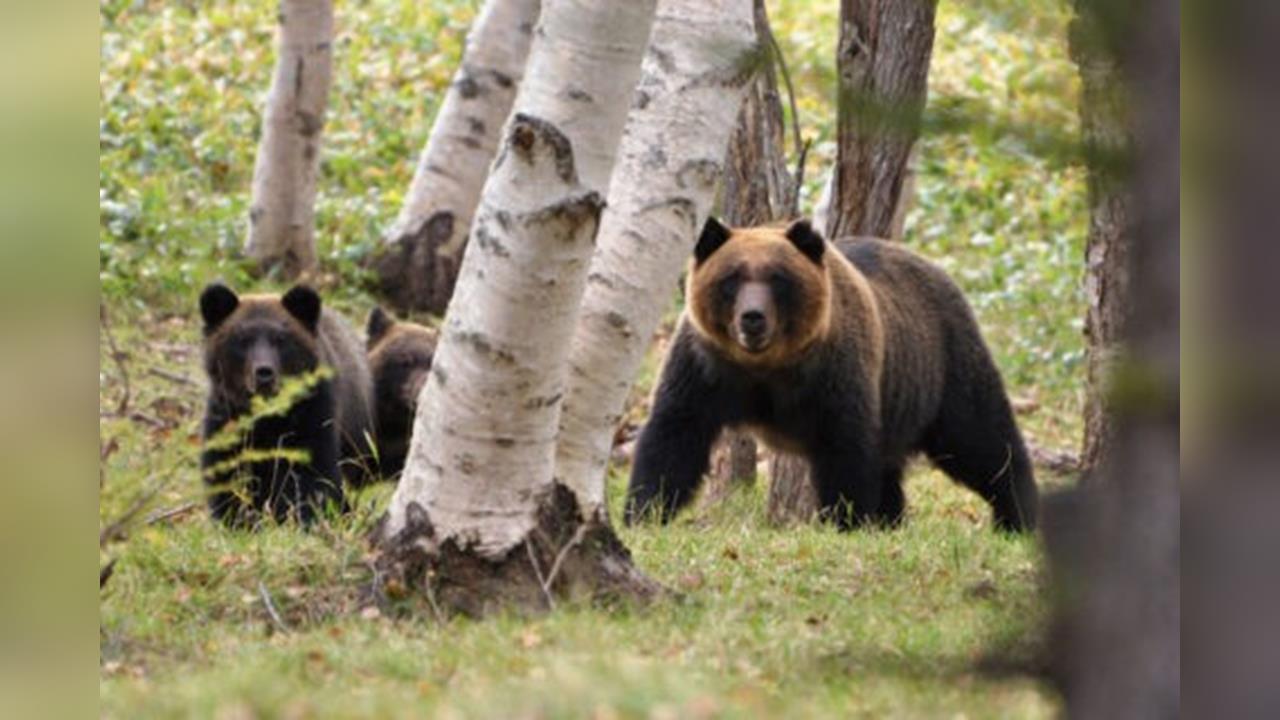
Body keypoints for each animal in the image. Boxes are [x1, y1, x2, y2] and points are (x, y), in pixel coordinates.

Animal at [199, 283, 376, 527]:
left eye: (281, 338)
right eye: (242, 338)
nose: (264, 373)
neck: (268, 417)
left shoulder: (312, 414)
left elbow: (312, 474)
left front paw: (304, 518)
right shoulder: (228, 417)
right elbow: (228, 473)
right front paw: (237, 519)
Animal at [624, 218, 1038, 532]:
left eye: (777, 278)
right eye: (732, 278)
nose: (753, 318)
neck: (766, 368)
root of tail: (935, 268)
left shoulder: (833, 373)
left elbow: (846, 447)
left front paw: (846, 519)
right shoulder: (705, 367)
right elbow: (674, 434)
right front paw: (643, 512)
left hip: (941, 362)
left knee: (981, 438)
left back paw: (1018, 516)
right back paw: (891, 520)